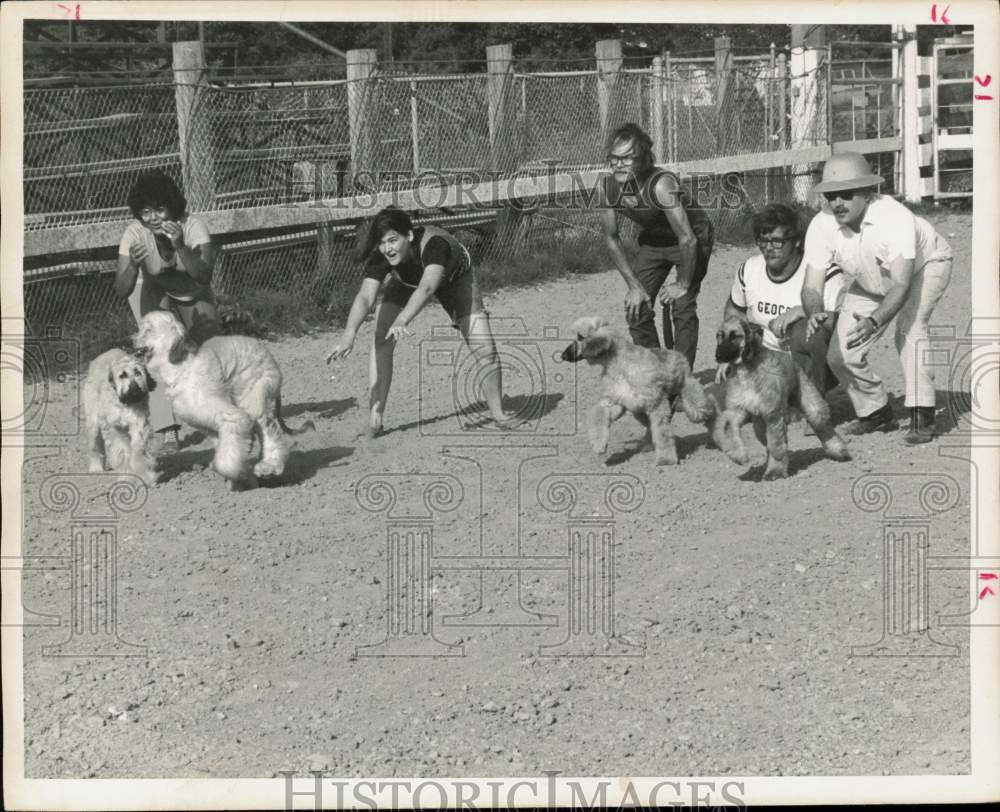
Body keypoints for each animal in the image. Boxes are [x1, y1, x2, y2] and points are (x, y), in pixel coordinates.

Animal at [83, 346, 157, 486]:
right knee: (94, 444)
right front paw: (127, 476)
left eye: (138, 373)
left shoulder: (137, 423)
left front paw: (143, 475)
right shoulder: (114, 428)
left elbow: (136, 450)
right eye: (122, 375)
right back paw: (96, 467)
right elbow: (122, 451)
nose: (134, 390)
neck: (125, 404)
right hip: (93, 422)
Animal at [564, 316, 720, 466]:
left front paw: (666, 459)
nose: (563, 355)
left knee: (705, 408)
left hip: (690, 395)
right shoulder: (615, 403)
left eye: (580, 337)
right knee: (650, 426)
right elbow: (598, 416)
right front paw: (598, 444)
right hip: (639, 411)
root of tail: (676, 353)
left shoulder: (657, 407)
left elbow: (662, 434)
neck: (621, 366)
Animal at [712, 314, 852, 478]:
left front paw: (775, 471)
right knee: (772, 441)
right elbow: (731, 430)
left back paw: (839, 451)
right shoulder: (740, 410)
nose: (718, 356)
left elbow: (776, 445)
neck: (747, 369)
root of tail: (792, 360)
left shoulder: (773, 415)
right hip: (760, 424)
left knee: (823, 428)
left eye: (735, 336)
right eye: (719, 336)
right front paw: (738, 456)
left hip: (810, 404)